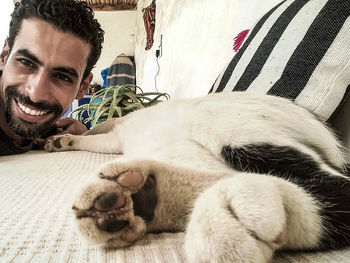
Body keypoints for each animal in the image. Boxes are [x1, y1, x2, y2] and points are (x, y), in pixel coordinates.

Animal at [45, 92, 348, 262]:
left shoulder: (114, 135)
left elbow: (91, 136)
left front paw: (65, 138)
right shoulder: (117, 140)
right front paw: (63, 139)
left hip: (219, 123)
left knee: (334, 185)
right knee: (219, 175)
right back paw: (137, 201)